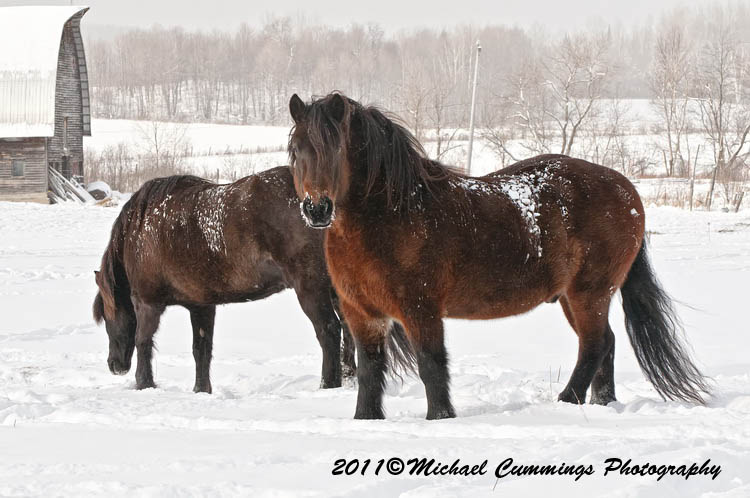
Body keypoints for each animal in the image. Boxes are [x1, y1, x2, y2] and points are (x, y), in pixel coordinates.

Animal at [92, 166, 362, 393]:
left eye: (106, 314)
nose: (114, 365)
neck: (139, 231)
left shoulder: (147, 303)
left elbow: (143, 342)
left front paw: (144, 385)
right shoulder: (201, 306)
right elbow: (201, 349)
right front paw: (201, 390)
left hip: (310, 288)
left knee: (329, 331)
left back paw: (328, 385)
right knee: (348, 329)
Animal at [287, 92, 710, 420]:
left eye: (335, 148)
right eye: (296, 151)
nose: (316, 209)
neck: (394, 214)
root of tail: (627, 190)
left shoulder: (420, 309)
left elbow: (431, 365)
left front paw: (441, 417)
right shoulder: (362, 313)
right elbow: (369, 372)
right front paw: (366, 420)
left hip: (590, 293)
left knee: (595, 345)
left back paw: (566, 402)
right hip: (576, 298)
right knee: (605, 344)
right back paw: (600, 404)